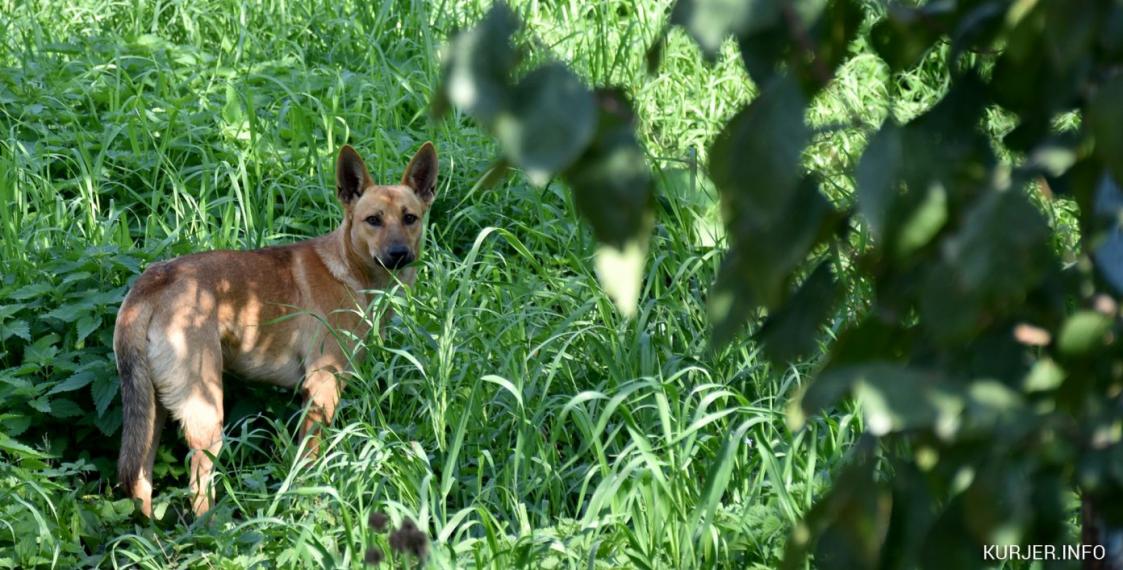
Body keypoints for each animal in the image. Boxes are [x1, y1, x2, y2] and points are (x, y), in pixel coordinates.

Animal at [115, 141, 437, 516]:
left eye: (410, 218)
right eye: (373, 220)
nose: (399, 253)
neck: (351, 271)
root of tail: (153, 281)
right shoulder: (322, 388)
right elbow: (311, 462)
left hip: (152, 412)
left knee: (140, 483)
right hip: (205, 412)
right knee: (198, 486)